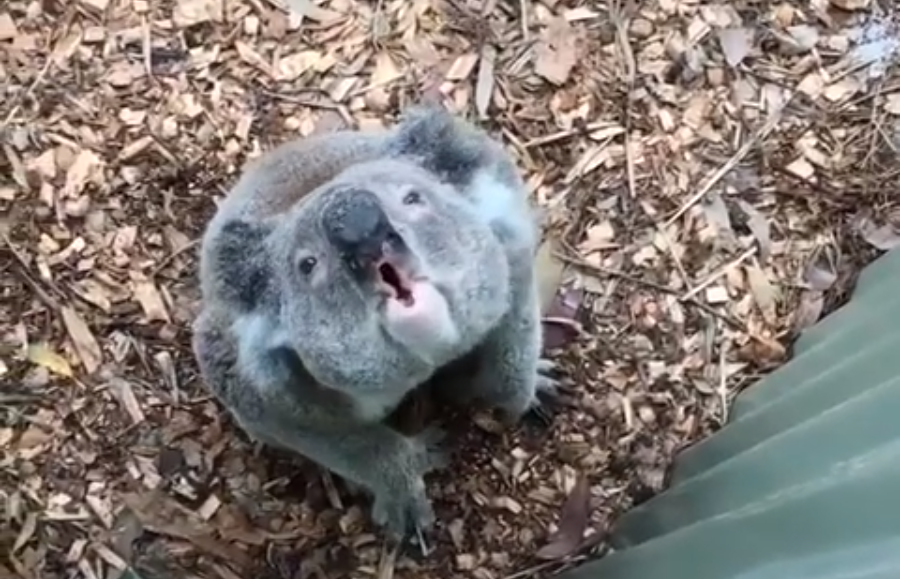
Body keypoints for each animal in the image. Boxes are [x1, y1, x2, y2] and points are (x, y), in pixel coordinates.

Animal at [191, 105, 560, 548]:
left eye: (412, 198)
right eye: (308, 264)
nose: (360, 228)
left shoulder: (512, 250)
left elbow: (513, 344)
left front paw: (524, 395)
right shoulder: (274, 396)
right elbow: (347, 442)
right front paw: (410, 483)